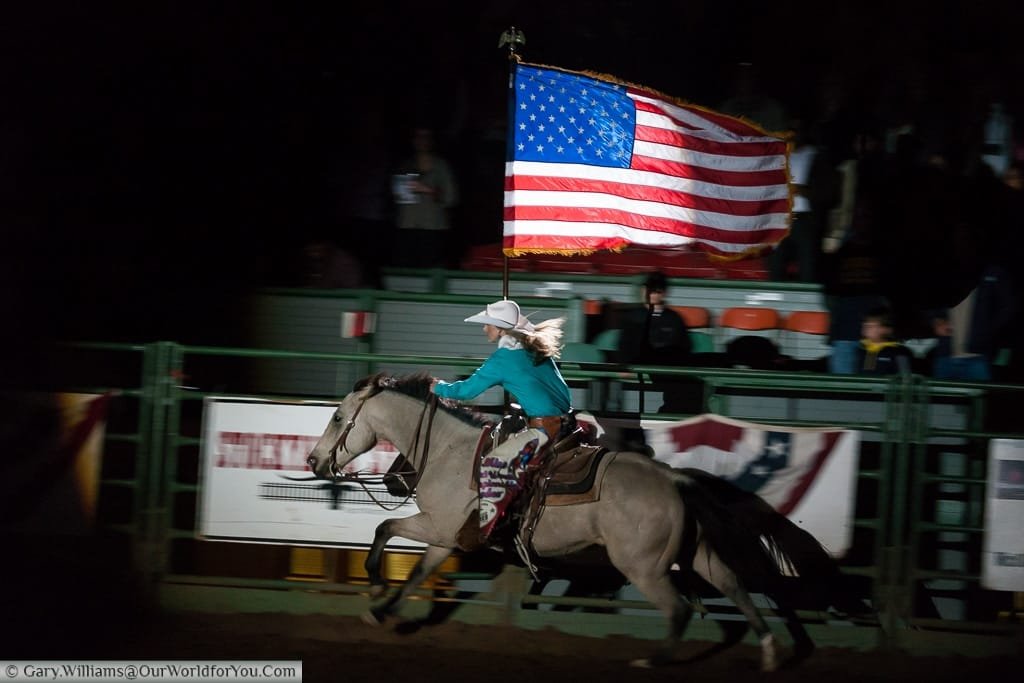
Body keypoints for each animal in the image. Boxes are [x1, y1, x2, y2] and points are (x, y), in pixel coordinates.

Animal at [305, 370, 856, 671]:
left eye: (338, 418)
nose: (312, 461)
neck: (452, 450)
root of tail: (674, 480)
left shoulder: (438, 528)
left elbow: (385, 532)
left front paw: (375, 587)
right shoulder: (447, 538)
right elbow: (418, 572)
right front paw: (382, 610)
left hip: (643, 566)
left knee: (678, 608)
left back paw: (653, 659)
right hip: (697, 555)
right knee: (736, 588)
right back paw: (769, 652)